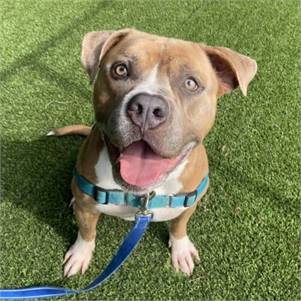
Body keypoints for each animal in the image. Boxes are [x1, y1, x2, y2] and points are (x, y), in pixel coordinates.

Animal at [48, 28, 255, 276]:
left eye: (190, 83)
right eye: (120, 70)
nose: (147, 107)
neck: (143, 194)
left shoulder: (189, 205)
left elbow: (179, 226)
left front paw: (181, 249)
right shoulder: (87, 210)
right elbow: (87, 232)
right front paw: (80, 254)